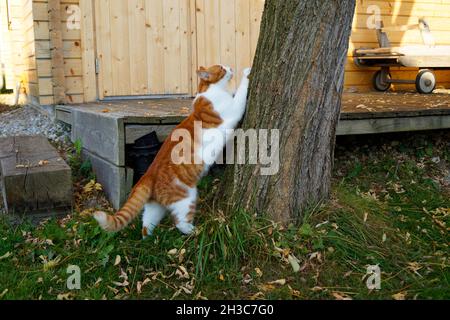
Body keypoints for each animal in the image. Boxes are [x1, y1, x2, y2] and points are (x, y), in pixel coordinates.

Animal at [93, 65, 251, 238]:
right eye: (222, 68)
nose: (230, 67)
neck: (207, 90)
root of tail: (148, 174)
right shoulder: (234, 109)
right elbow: (241, 92)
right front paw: (247, 73)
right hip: (186, 199)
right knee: (180, 222)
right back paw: (194, 232)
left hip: (155, 208)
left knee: (146, 225)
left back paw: (151, 239)